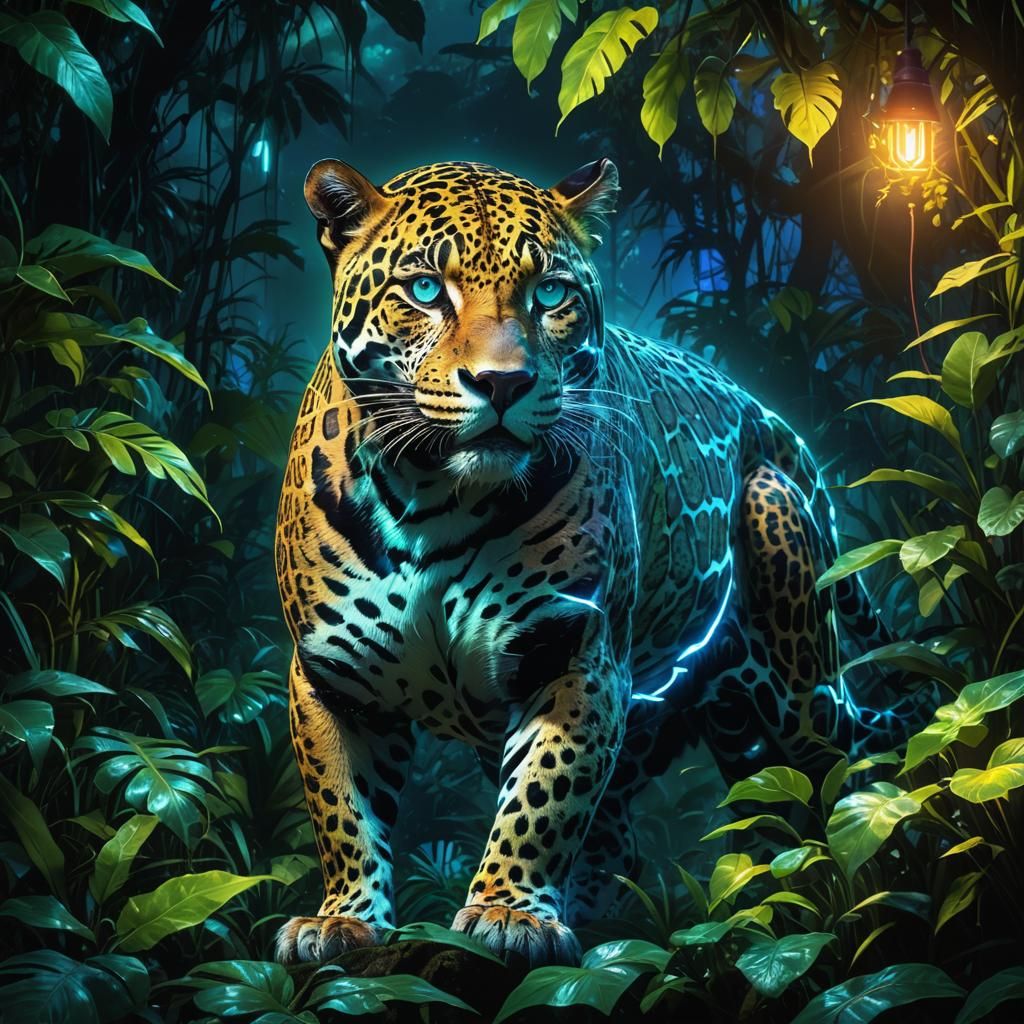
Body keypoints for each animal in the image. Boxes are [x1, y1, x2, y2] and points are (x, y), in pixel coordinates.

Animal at [273, 156, 920, 968]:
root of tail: (773, 419)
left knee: (834, 783)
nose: (503, 383)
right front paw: (342, 920)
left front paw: (508, 912)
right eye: (424, 290)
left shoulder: (573, 650)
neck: (434, 498)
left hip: (799, 672)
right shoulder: (330, 676)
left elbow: (544, 795)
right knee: (656, 829)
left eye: (550, 294)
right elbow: (342, 809)